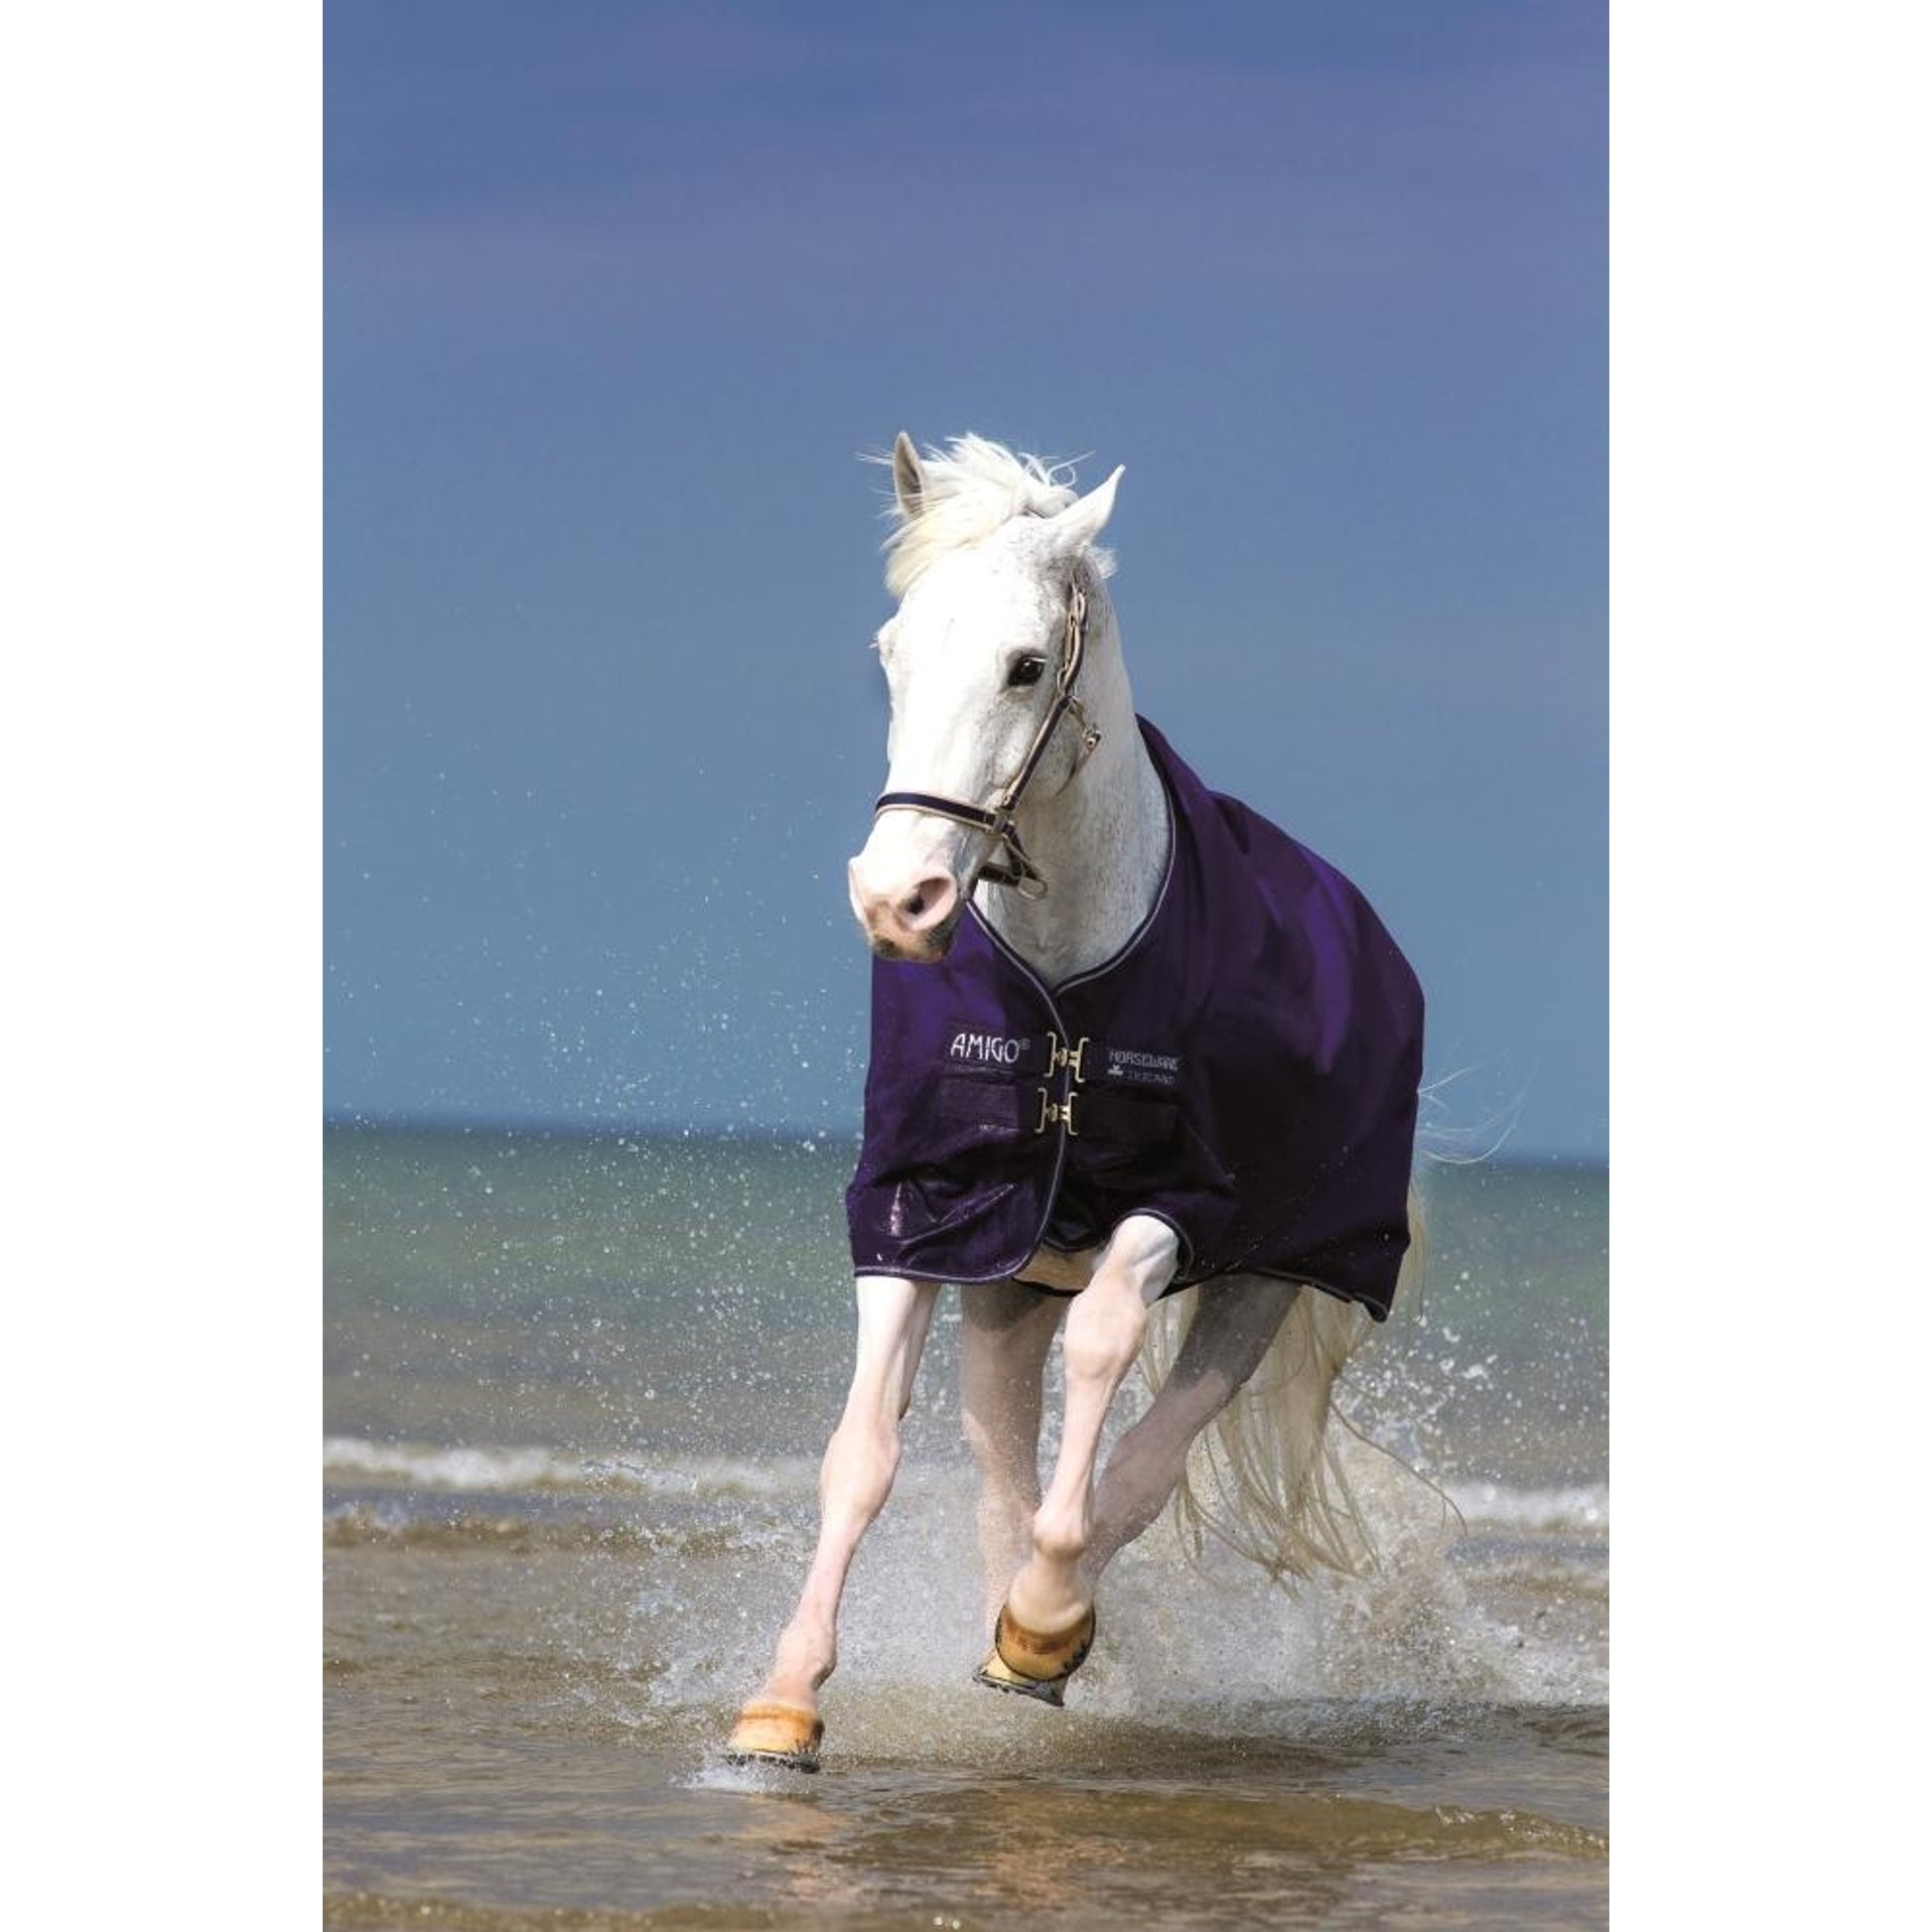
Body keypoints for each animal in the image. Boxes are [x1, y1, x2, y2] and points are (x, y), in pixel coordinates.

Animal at [726, 433, 1425, 1771]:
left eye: (1025, 665)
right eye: (891, 652)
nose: (898, 901)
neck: (1065, 987)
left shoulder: (1187, 1203)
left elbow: (1107, 1349)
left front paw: (1047, 1618)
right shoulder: (926, 1207)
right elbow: (861, 1450)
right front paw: (780, 1703)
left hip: (1267, 1276)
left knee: (1150, 1452)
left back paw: (1041, 1629)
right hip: (1010, 1297)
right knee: (1006, 1462)